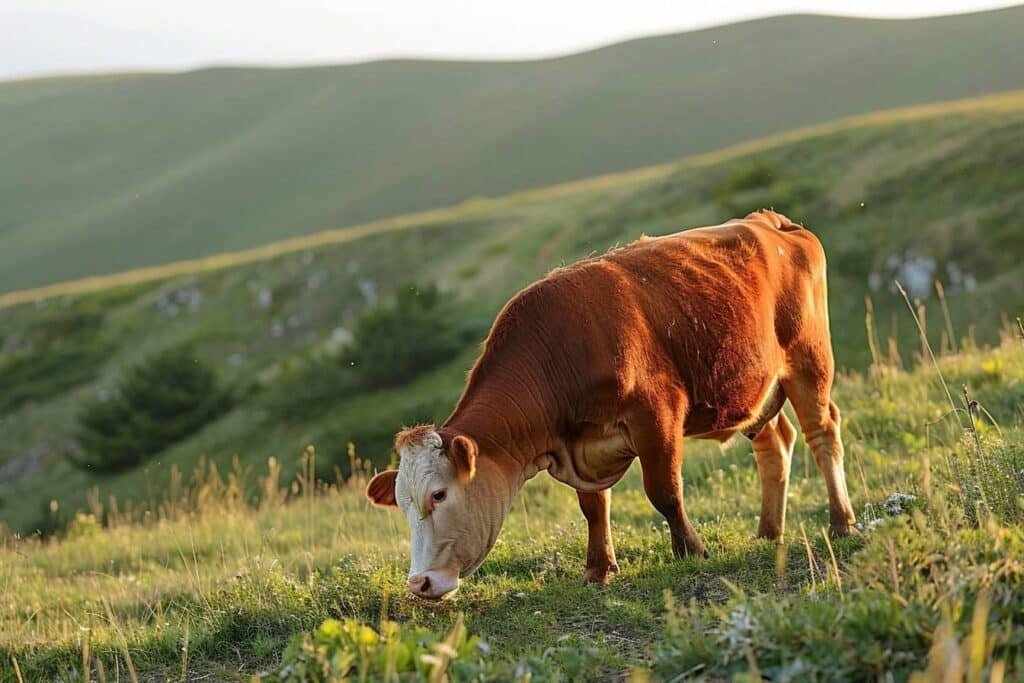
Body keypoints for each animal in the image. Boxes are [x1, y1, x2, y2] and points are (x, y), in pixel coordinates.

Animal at [366, 210, 856, 602]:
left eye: (439, 494)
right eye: (402, 504)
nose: (419, 583)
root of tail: (770, 220)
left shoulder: (656, 414)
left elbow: (664, 492)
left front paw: (691, 552)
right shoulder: (582, 446)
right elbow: (593, 508)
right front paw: (599, 569)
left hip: (809, 361)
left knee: (821, 435)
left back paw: (841, 522)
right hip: (751, 390)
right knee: (776, 443)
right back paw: (767, 532)